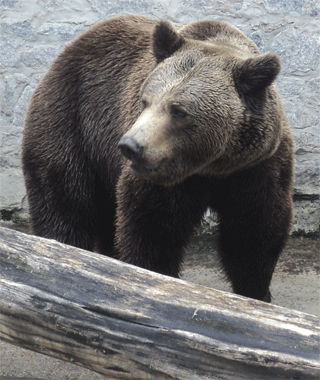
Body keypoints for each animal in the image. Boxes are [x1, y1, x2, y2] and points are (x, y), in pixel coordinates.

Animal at [21, 13, 292, 302]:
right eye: (145, 100)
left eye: (179, 111)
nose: (130, 146)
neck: (209, 166)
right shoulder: (159, 178)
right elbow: (152, 230)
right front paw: (156, 278)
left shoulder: (256, 167)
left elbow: (253, 232)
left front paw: (256, 292)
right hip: (71, 121)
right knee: (65, 201)